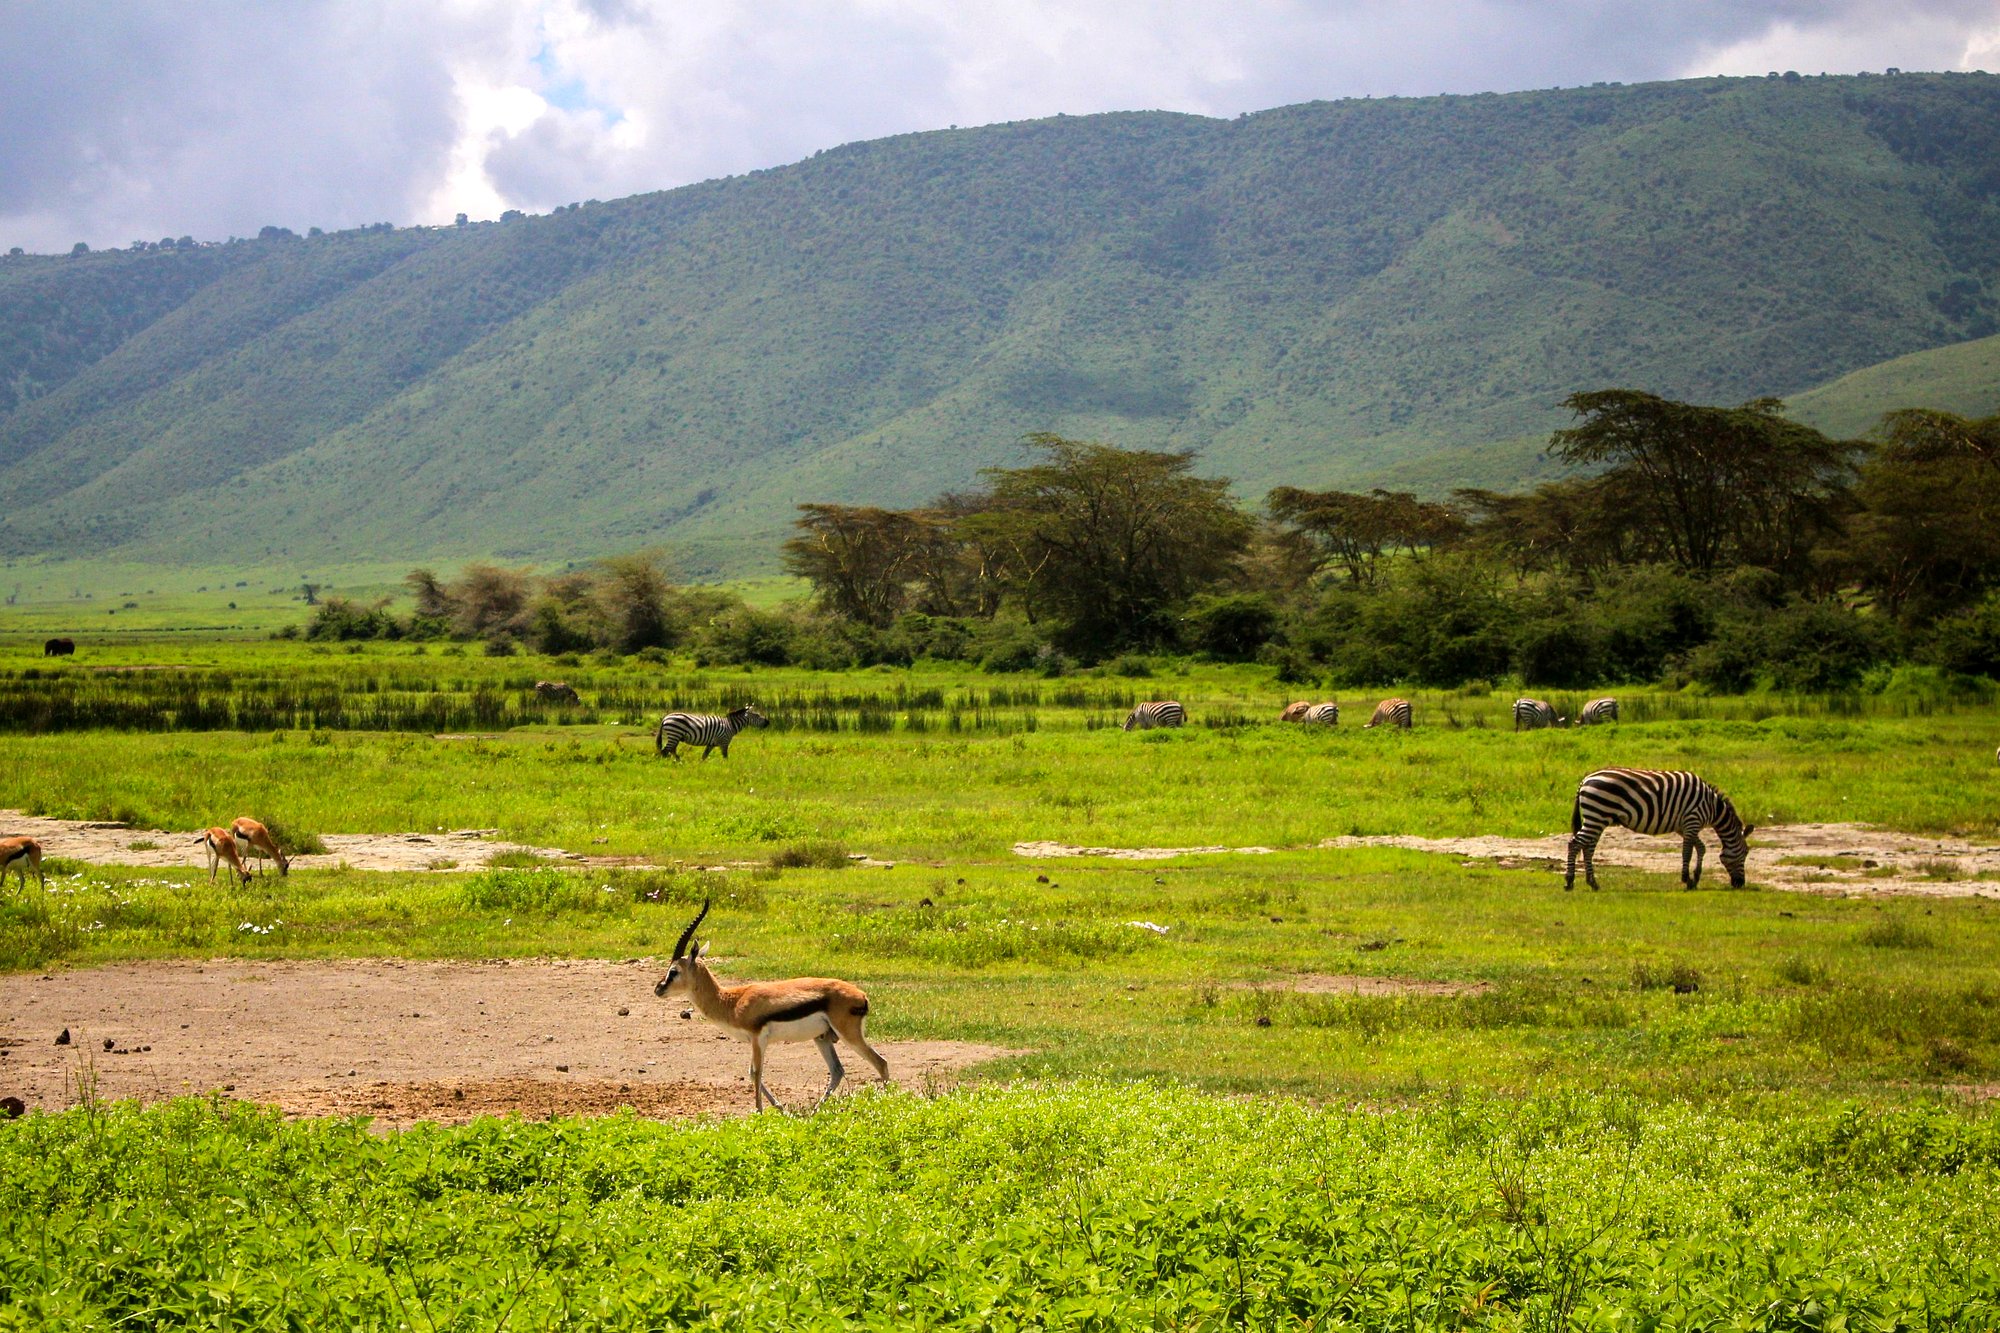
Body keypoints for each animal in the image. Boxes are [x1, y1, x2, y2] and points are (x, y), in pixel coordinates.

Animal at [653, 899, 889, 1113]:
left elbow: (756, 1072)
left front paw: (759, 1113)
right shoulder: (754, 1041)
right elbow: (751, 1073)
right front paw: (781, 1109)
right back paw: (814, 1112)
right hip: (821, 1037)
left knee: (880, 1062)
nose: (658, 989)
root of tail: (862, 995)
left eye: (673, 971)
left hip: (848, 1034)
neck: (733, 1001)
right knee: (838, 1071)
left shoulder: (758, 1038)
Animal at [1565, 768, 1753, 892]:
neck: (1712, 807)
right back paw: (1569, 881)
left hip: (1597, 817)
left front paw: (1695, 878)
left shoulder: (1683, 826)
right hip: (1598, 814)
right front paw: (1686, 879)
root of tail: (1585, 780)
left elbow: (1701, 848)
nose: (1740, 884)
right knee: (1574, 843)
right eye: (1745, 853)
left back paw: (1593, 883)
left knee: (1588, 847)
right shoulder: (1692, 820)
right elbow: (1687, 852)